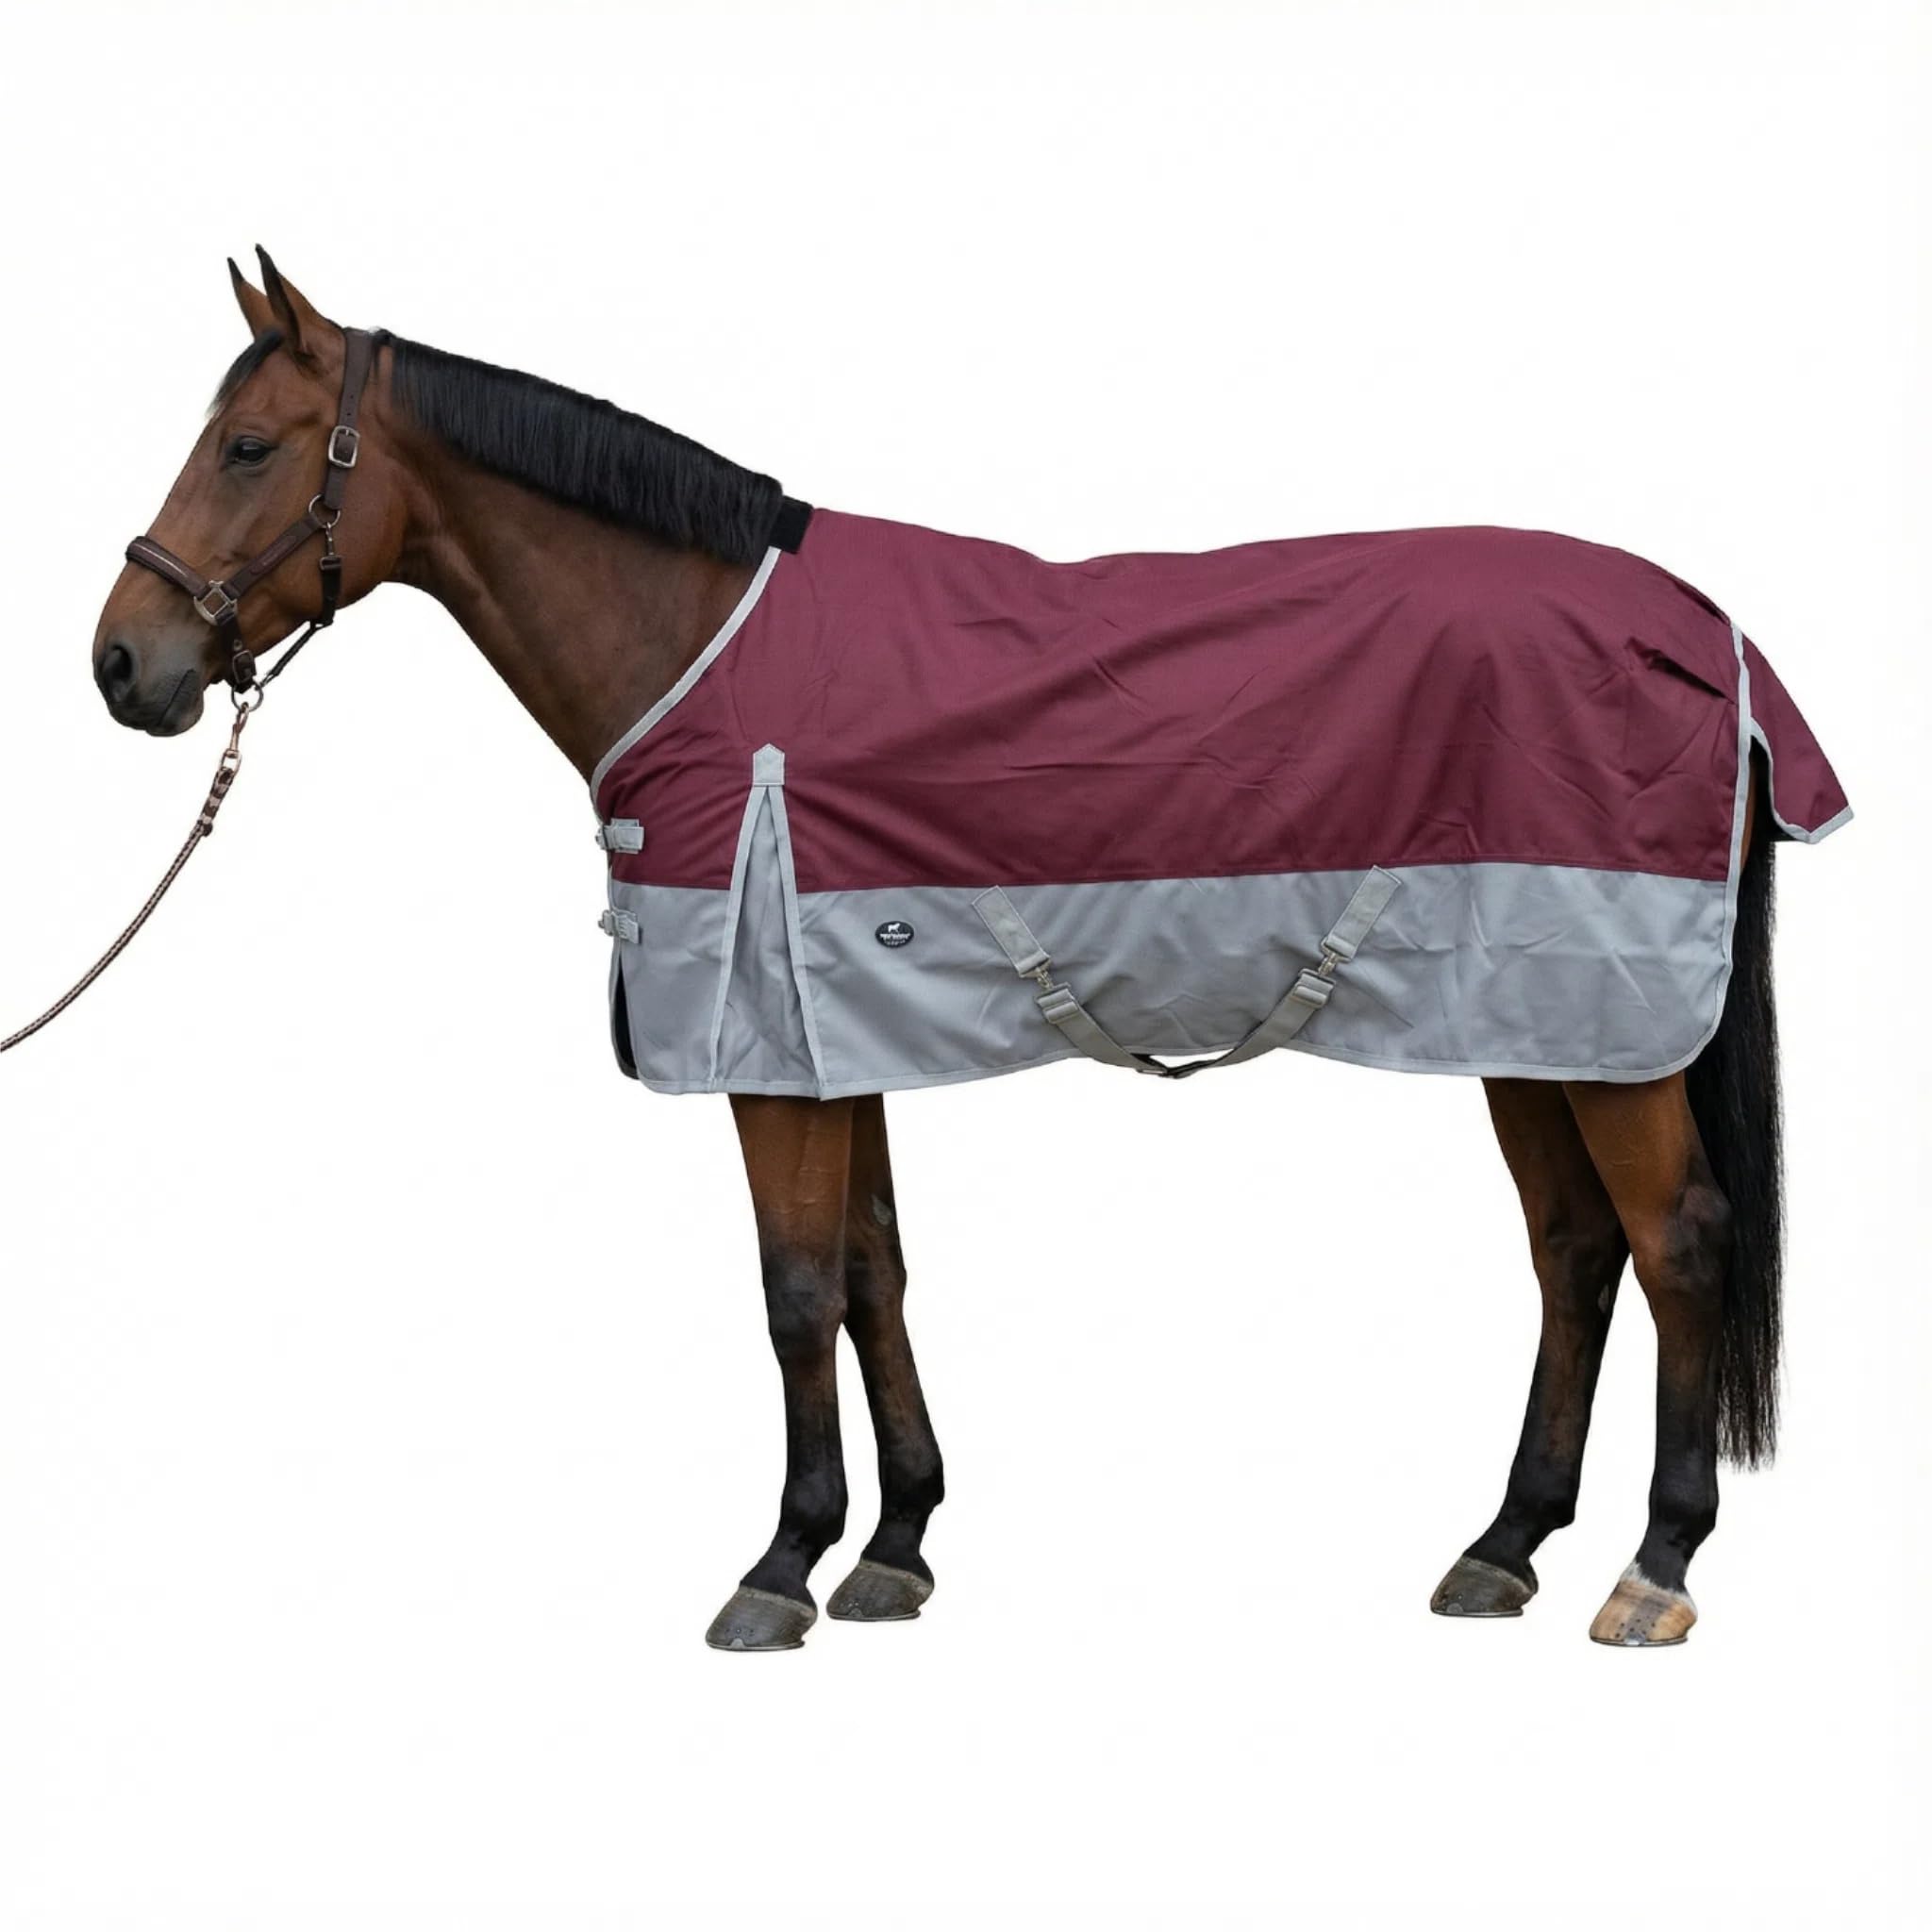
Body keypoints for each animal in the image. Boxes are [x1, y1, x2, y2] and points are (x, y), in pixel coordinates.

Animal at [88, 250, 1848, 1651]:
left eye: (248, 445)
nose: (122, 664)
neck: (703, 647)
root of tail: (1701, 631)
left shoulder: (767, 1048)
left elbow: (796, 1287)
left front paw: (780, 1565)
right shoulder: (828, 1029)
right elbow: (872, 1269)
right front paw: (894, 1546)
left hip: (1600, 1022)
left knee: (1678, 1239)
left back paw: (1654, 1564)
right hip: (1532, 1020)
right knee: (1576, 1248)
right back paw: (1503, 1545)